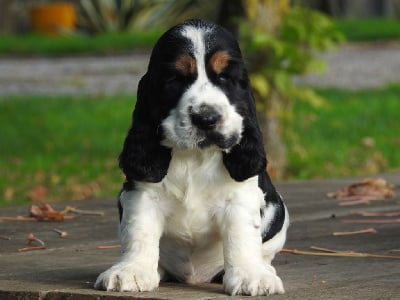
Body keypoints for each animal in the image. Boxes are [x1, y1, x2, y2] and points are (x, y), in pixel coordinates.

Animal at [95, 19, 290, 298]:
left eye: (225, 77)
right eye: (175, 79)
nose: (206, 118)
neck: (195, 156)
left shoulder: (240, 196)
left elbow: (241, 236)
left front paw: (251, 276)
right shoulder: (142, 194)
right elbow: (139, 232)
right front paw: (131, 271)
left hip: (279, 214)